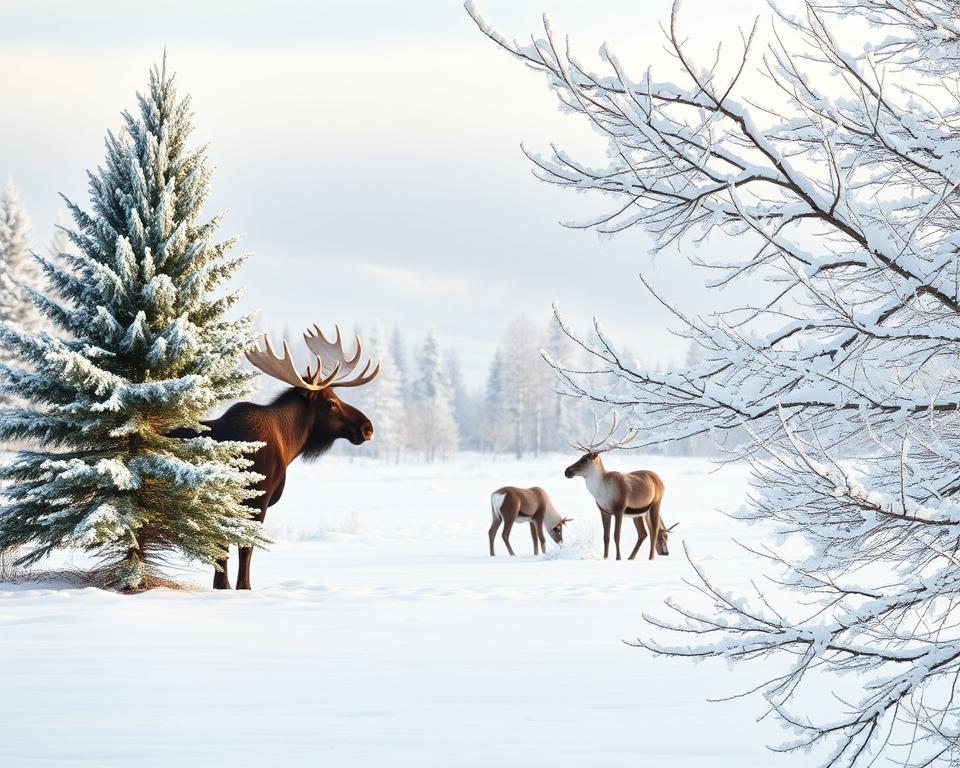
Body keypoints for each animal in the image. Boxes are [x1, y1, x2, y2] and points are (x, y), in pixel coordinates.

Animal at [171, 325, 379, 590]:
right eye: (331, 403)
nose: (367, 427)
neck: (287, 444)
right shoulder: (256, 499)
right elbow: (244, 550)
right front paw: (243, 588)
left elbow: (221, 554)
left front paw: (223, 587)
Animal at [564, 412, 676, 561]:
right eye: (581, 457)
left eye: (584, 460)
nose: (567, 471)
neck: (601, 492)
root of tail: (660, 480)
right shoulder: (604, 511)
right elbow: (606, 537)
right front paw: (605, 557)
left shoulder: (619, 509)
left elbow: (617, 536)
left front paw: (618, 558)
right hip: (639, 512)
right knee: (644, 532)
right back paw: (631, 557)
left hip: (656, 503)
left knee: (654, 530)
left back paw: (650, 557)